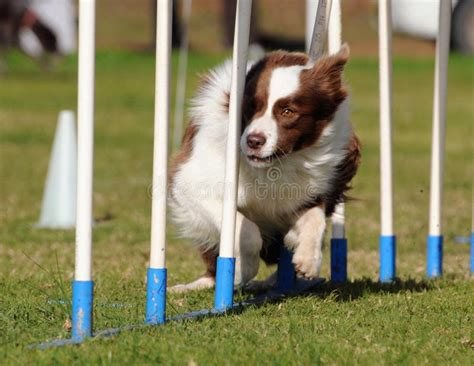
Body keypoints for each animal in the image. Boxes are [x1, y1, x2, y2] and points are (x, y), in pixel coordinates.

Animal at [169, 44, 360, 294]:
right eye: (250, 107)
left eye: (288, 111)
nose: (253, 141)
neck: (274, 166)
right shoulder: (191, 185)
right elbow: (247, 230)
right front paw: (243, 269)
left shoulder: (309, 189)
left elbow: (315, 219)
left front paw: (308, 259)